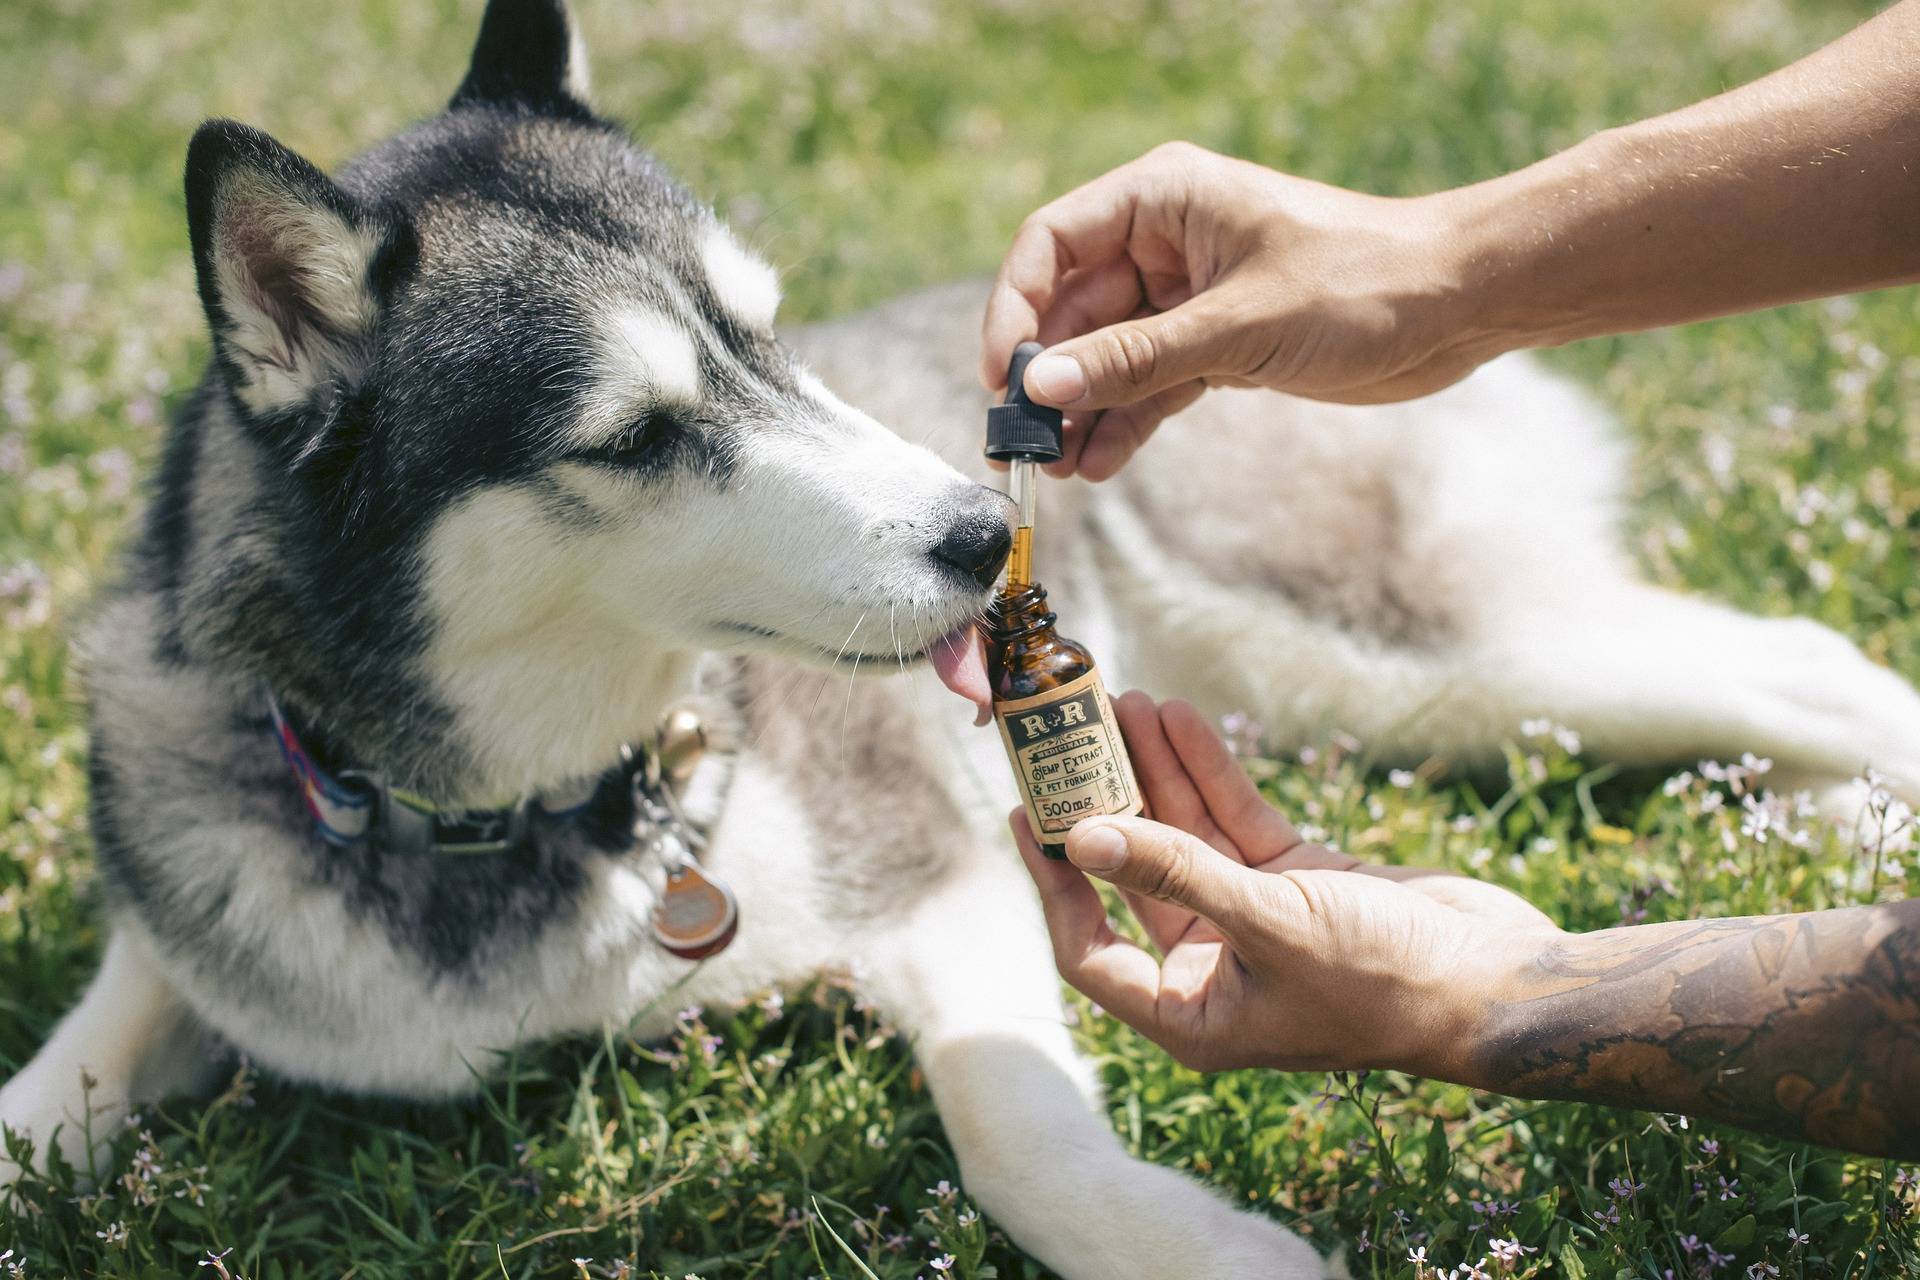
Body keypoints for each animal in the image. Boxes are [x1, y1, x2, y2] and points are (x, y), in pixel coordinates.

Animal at [3, 0, 1920, 1274]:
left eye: (774, 337)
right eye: (633, 435)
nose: (986, 531)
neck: (511, 818)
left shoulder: (940, 867)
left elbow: (1009, 1130)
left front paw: (1193, 1251)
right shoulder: (195, 905)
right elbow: (65, 1073)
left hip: (1407, 650)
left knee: (1805, 659)